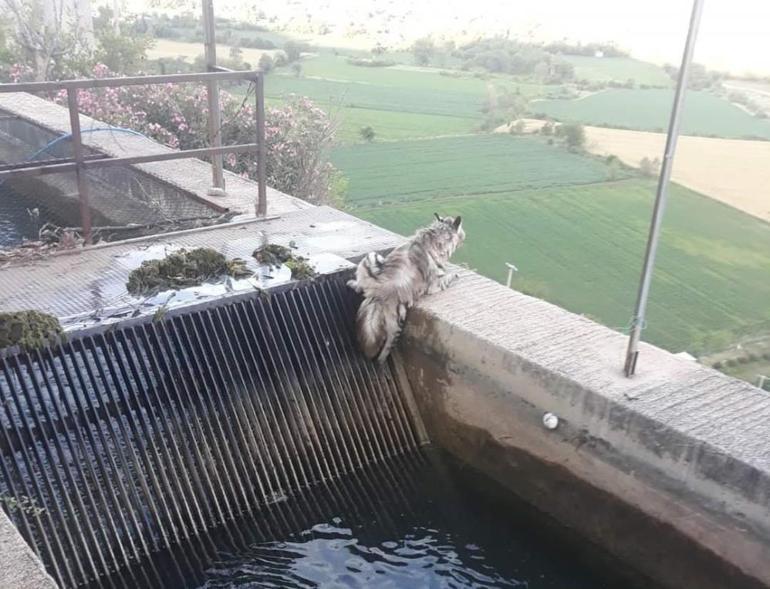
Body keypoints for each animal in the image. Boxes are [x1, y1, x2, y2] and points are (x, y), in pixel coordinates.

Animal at [346, 215, 462, 362]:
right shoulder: (435, 284)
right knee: (385, 350)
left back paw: (352, 283)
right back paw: (381, 362)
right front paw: (456, 275)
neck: (433, 237)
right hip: (398, 322)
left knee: (360, 285)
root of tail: (380, 295)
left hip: (371, 257)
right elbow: (448, 278)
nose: (464, 235)